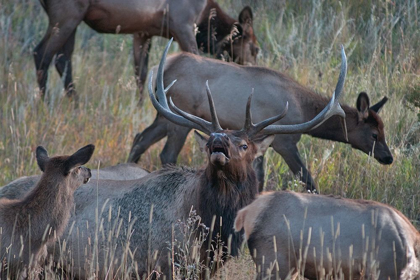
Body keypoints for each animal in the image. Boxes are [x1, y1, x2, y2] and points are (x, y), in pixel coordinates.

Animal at [33, 0, 256, 102]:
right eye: (255, 48)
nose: (250, 68)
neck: (205, 19)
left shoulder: (143, 32)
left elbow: (141, 75)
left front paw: (141, 106)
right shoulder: (183, 24)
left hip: (73, 18)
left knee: (62, 60)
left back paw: (76, 103)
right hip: (66, 15)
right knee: (41, 53)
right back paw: (44, 104)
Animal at [128, 49, 394, 192]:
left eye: (384, 129)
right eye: (374, 134)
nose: (388, 157)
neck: (303, 109)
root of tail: (163, 68)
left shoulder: (261, 143)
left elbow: (259, 178)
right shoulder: (285, 142)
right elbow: (307, 179)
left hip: (163, 115)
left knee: (140, 137)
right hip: (177, 117)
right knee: (166, 153)